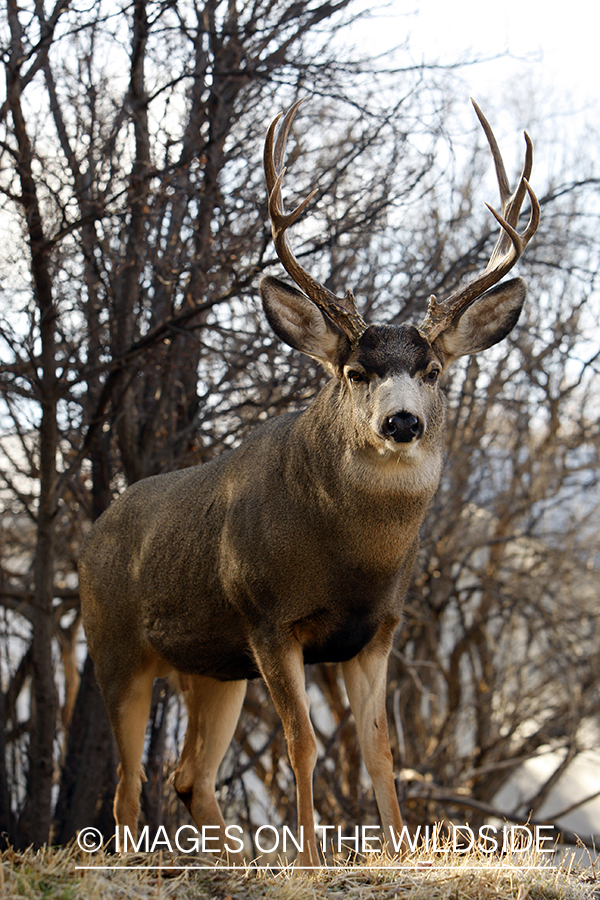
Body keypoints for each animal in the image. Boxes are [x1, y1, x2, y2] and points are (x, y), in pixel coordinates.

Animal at [79, 98, 539, 867]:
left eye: (433, 370)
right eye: (355, 372)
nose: (403, 421)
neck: (352, 558)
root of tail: (91, 536)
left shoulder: (378, 629)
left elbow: (381, 750)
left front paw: (399, 854)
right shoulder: (269, 618)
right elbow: (304, 744)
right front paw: (311, 861)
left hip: (212, 667)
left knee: (187, 776)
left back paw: (236, 862)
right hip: (115, 648)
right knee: (125, 784)